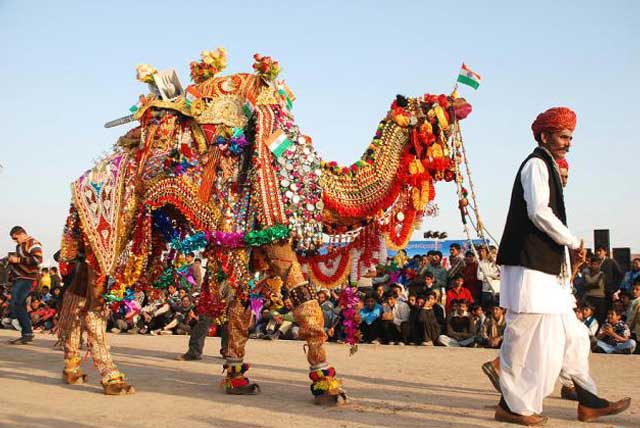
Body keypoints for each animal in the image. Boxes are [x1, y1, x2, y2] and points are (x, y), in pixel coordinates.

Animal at [57, 48, 472, 400]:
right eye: (432, 108)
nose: (462, 102)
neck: (317, 182)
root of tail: (83, 183)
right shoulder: (275, 236)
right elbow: (306, 303)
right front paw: (329, 385)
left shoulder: (254, 245)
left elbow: (242, 308)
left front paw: (238, 377)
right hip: (115, 228)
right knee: (94, 305)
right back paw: (113, 379)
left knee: (77, 299)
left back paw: (74, 371)